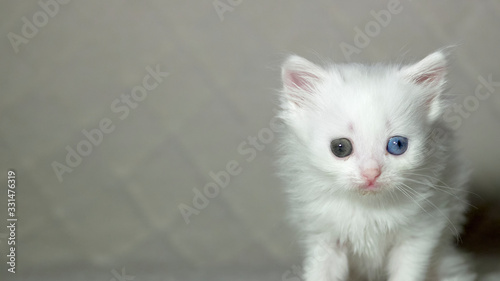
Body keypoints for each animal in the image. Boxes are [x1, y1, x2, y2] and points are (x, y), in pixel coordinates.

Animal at [278, 50, 476, 280]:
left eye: (397, 145)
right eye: (340, 147)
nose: (371, 173)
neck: (368, 207)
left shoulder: (420, 233)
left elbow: (408, 272)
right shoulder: (323, 238)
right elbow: (321, 273)